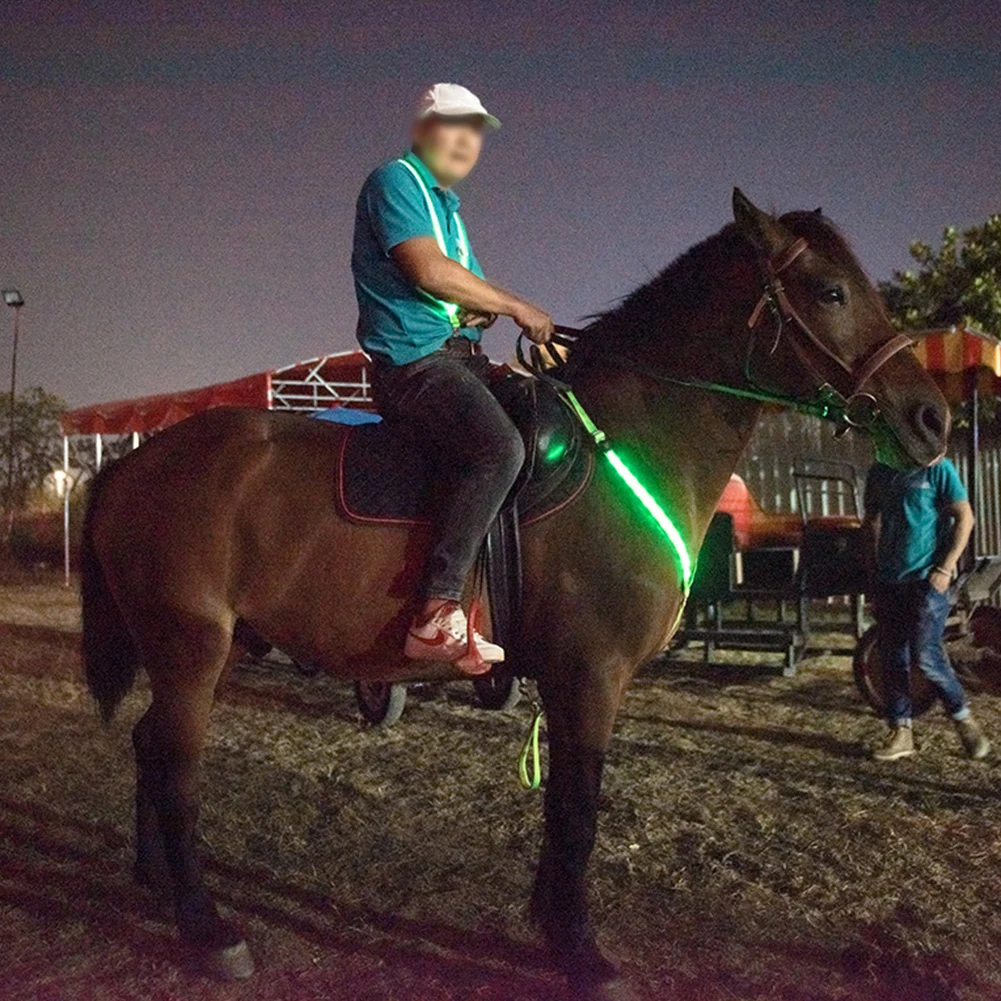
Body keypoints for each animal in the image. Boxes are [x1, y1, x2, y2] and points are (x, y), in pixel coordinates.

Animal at [80, 190, 949, 999]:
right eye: (830, 291)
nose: (930, 417)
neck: (625, 444)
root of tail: (134, 462)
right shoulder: (589, 673)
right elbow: (578, 808)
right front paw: (580, 950)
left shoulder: (572, 679)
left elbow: (564, 805)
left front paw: (551, 926)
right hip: (191, 648)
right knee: (176, 768)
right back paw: (207, 927)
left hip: (202, 650)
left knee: (150, 746)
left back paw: (157, 884)